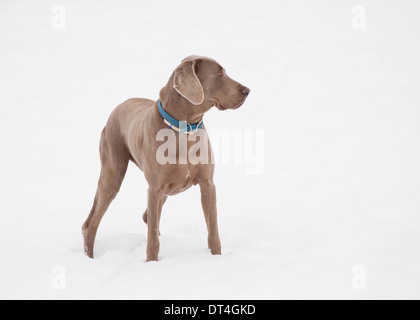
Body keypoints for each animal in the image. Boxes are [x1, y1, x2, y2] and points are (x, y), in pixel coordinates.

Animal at [83, 54, 251, 260]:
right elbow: (153, 239)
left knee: (147, 216)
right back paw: (90, 257)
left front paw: (216, 257)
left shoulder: (207, 184)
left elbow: (213, 230)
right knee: (92, 225)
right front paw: (151, 262)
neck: (185, 128)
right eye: (219, 74)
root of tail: (117, 108)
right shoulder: (155, 188)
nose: (247, 91)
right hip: (113, 173)